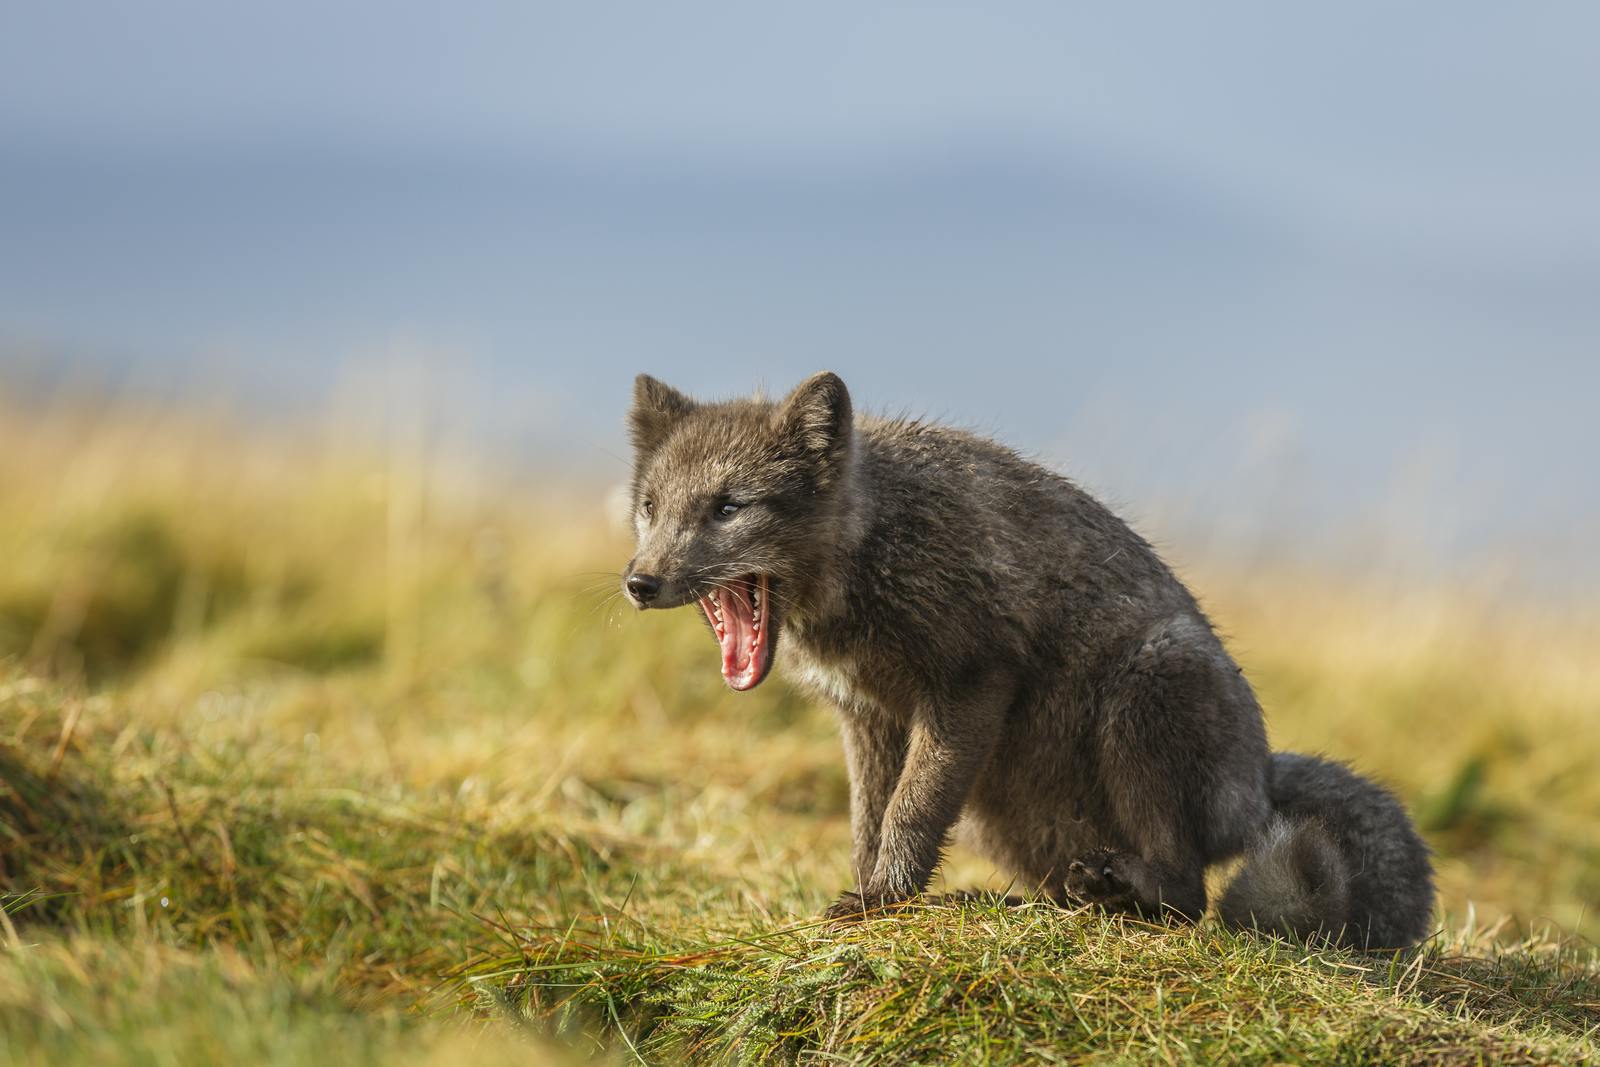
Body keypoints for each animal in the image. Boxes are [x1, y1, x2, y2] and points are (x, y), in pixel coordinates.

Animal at [620, 371, 1440, 947]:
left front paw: (881, 901)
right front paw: (872, 898)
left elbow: (910, 812)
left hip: (1141, 697)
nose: (638, 582)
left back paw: (1121, 892)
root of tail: (1262, 782)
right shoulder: (867, 717)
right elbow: (869, 821)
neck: (877, 539)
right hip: (1003, 813)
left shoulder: (970, 682)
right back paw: (1011, 900)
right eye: (650, 508)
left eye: (730, 506)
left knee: (1186, 898)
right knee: (1078, 888)